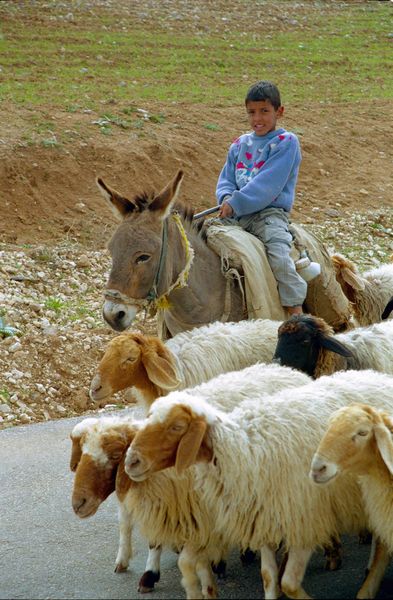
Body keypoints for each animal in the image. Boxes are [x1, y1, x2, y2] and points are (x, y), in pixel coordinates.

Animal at [71, 358, 312, 596]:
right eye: (81, 454)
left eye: (114, 455)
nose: (78, 503)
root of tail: (284, 369)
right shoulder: (169, 506)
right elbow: (157, 541)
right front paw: (152, 573)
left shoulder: (200, 511)